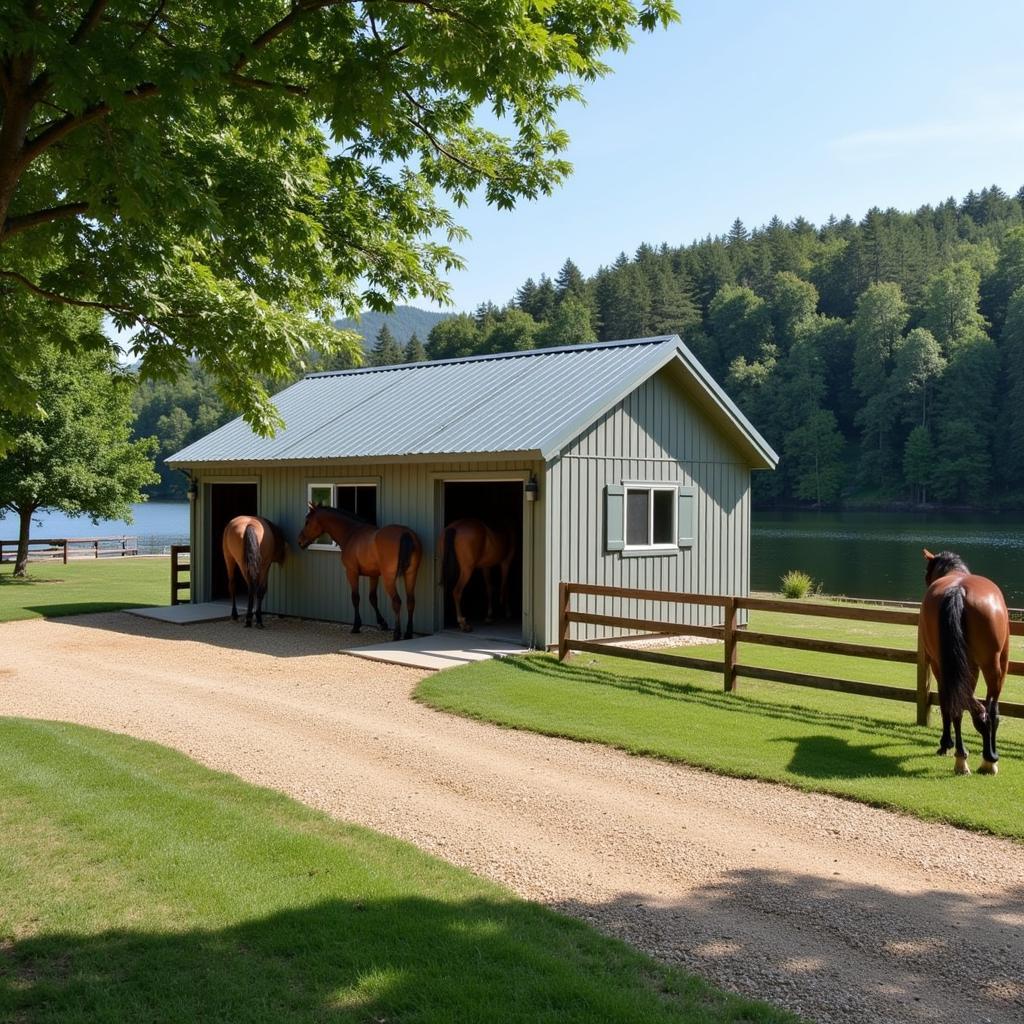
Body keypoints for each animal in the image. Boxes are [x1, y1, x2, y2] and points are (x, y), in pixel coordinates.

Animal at [299, 501, 421, 638]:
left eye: (307, 522)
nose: (299, 541)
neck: (351, 533)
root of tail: (406, 533)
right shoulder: (374, 575)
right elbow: (372, 598)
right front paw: (382, 623)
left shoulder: (351, 572)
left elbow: (355, 598)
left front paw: (356, 626)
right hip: (411, 574)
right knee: (410, 601)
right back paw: (408, 633)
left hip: (389, 578)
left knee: (396, 602)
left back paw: (397, 633)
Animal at [921, 552, 1007, 774]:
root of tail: (958, 590)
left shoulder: (941, 667)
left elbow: (948, 704)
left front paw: (946, 744)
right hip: (992, 665)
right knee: (990, 709)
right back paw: (988, 759)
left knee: (959, 705)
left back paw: (962, 756)